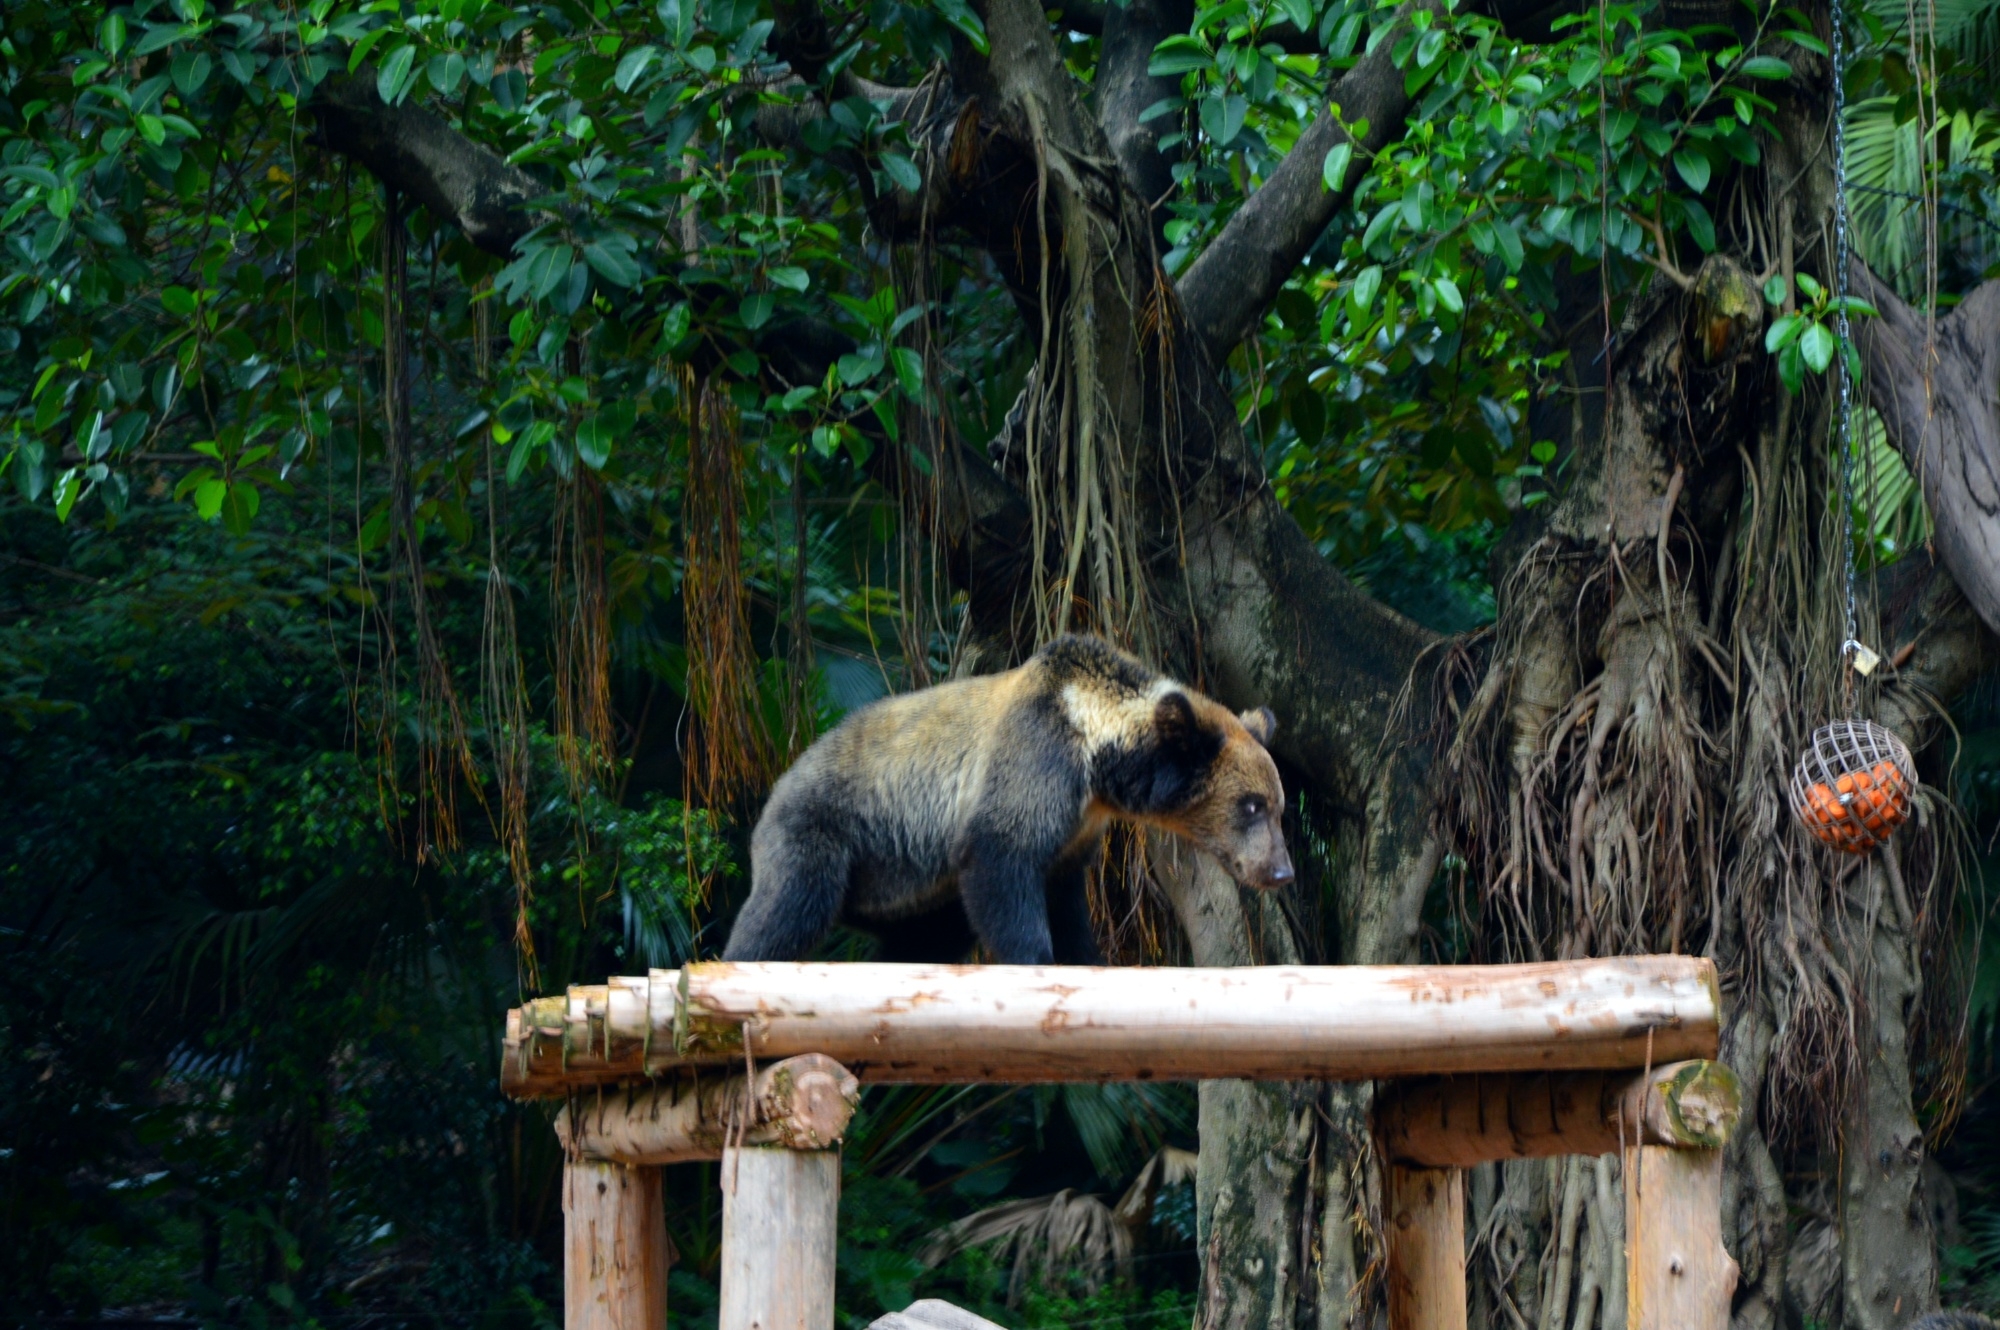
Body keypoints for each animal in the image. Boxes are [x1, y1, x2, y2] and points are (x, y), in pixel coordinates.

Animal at [728, 628, 1288, 960]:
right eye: (1251, 805)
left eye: (1277, 806)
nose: (1282, 871)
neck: (1098, 754)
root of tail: (783, 777)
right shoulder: (1035, 761)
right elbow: (1002, 858)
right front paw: (1035, 959)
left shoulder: (1079, 829)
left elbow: (1066, 901)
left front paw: (1086, 959)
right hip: (832, 829)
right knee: (785, 906)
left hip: (910, 889)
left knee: (926, 940)